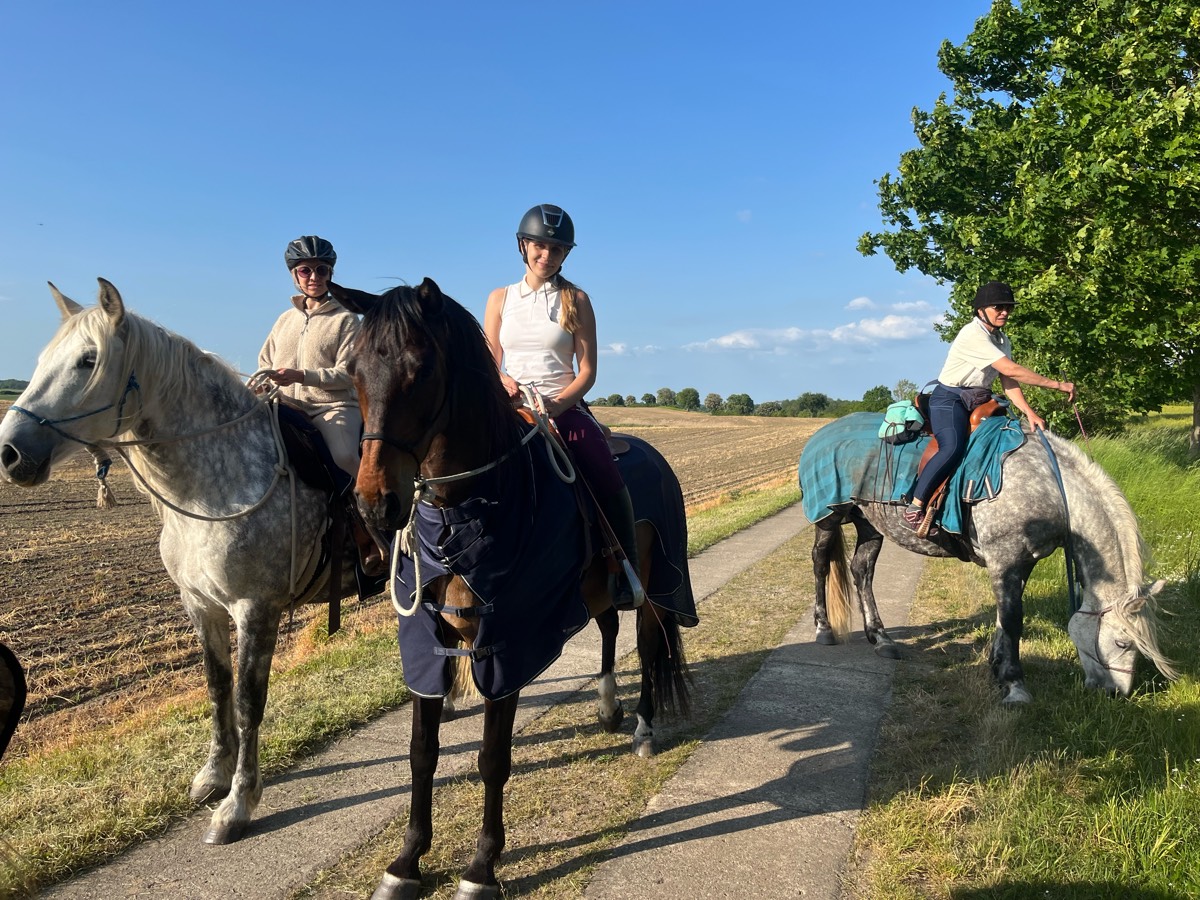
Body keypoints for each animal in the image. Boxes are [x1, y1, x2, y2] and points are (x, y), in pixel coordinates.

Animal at [0, 279, 365, 844]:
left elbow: (248, 701)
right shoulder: (199, 605)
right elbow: (217, 688)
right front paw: (214, 776)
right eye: (42, 359)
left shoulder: (256, 610)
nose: (10, 452)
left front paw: (238, 803)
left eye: (88, 360)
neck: (214, 484)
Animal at [327, 277, 694, 900]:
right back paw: (607, 706)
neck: (472, 507)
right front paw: (407, 861)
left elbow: (492, 757)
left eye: (421, 369)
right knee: (609, 627)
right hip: (596, 588)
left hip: (654, 587)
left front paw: (481, 866)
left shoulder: (504, 645)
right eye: (352, 369)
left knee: (647, 645)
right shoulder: (428, 644)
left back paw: (643, 726)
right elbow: (422, 752)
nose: (375, 504)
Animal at [799, 411, 1175, 704]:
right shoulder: (1005, 558)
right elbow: (1012, 618)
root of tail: (820, 435)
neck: (1050, 487)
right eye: (1122, 641)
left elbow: (1005, 615)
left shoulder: (1021, 561)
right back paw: (824, 628)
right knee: (820, 564)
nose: (1115, 694)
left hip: (869, 523)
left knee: (861, 570)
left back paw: (880, 639)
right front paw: (1014, 684)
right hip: (829, 518)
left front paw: (996, 665)